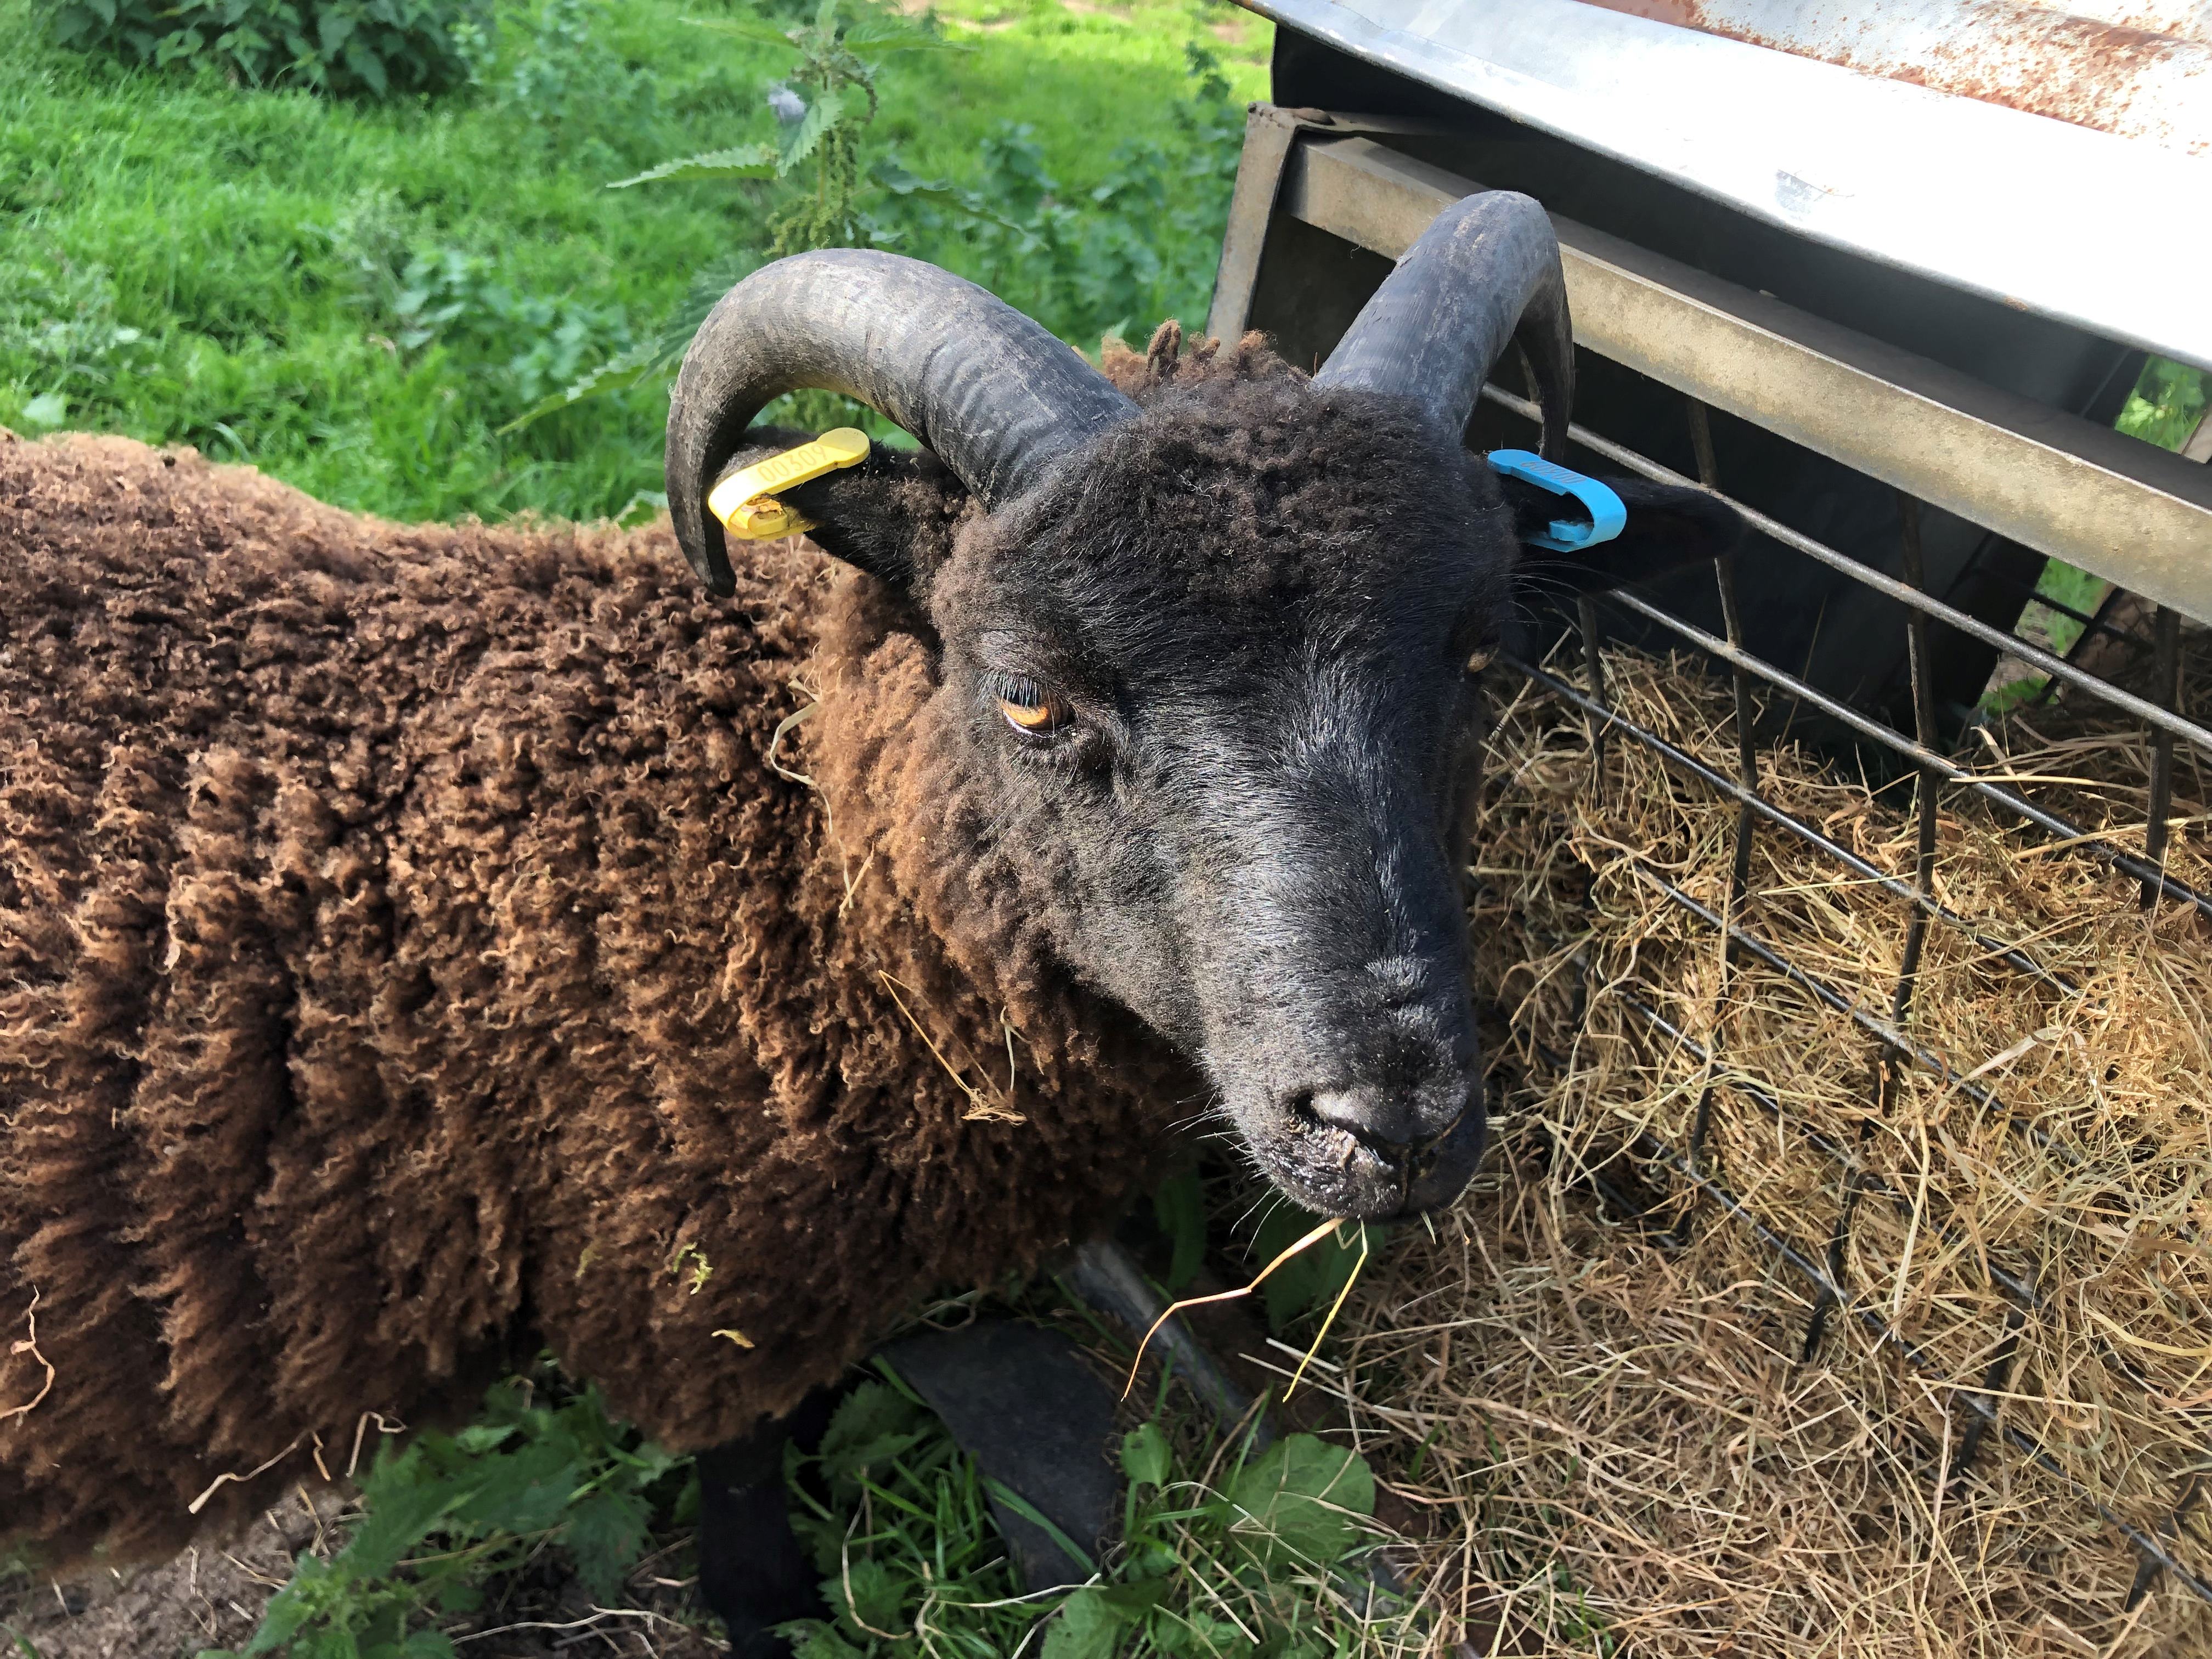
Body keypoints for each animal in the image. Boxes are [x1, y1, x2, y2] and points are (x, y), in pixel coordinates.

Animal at [0, 188, 1734, 1645]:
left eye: (1477, 655)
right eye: (1029, 696)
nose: (1393, 1123)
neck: (756, 836)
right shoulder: (701, 1314)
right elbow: (750, 1538)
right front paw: (778, 1604)